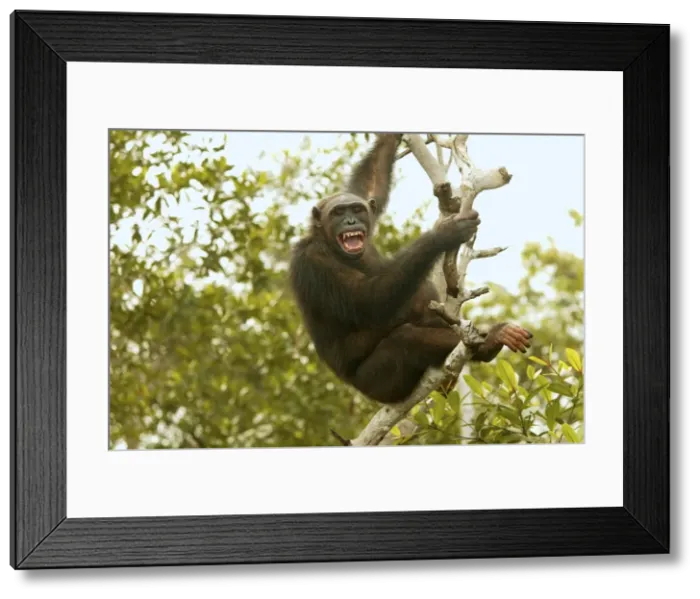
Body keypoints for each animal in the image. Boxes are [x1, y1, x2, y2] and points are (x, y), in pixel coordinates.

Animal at [289, 132, 532, 405]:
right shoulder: (314, 262)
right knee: (406, 338)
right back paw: (491, 340)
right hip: (381, 384)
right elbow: (367, 300)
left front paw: (390, 136)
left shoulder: (366, 203)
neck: (328, 243)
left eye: (357, 209)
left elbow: (371, 184)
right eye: (338, 212)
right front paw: (444, 234)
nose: (350, 221)